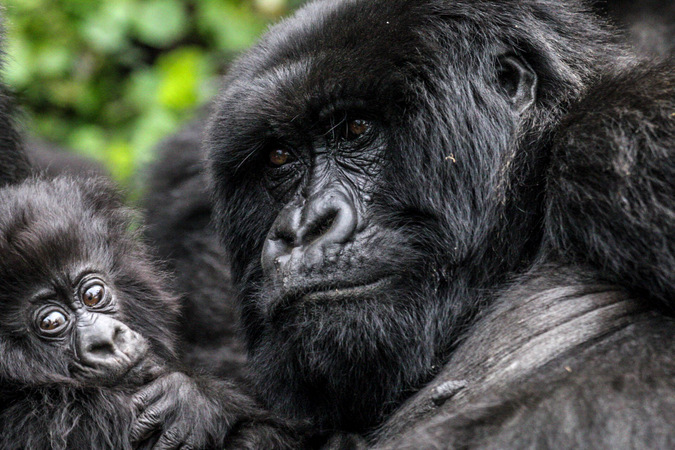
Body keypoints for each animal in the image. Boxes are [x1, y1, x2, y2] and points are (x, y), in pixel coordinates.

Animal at [0, 178, 296, 450]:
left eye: (93, 295)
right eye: (51, 322)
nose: (107, 341)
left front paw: (188, 397)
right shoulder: (83, 419)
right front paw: (192, 402)